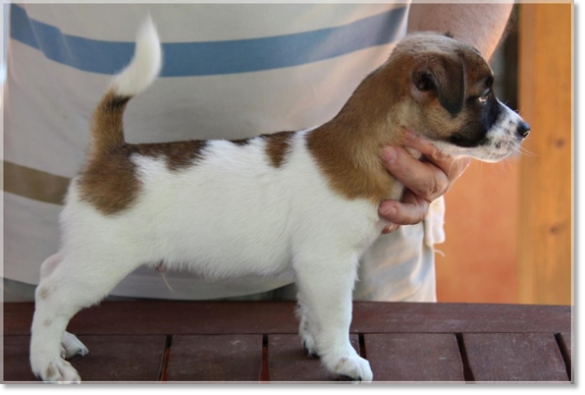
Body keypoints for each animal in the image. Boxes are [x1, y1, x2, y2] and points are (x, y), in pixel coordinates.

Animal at [28, 17, 528, 384]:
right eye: (483, 95)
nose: (525, 129)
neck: (362, 144)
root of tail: (112, 153)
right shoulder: (330, 263)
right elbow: (339, 314)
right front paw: (343, 359)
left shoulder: (313, 268)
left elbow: (312, 309)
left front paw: (316, 342)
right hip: (101, 262)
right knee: (51, 294)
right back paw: (48, 363)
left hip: (86, 253)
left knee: (47, 275)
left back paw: (62, 343)